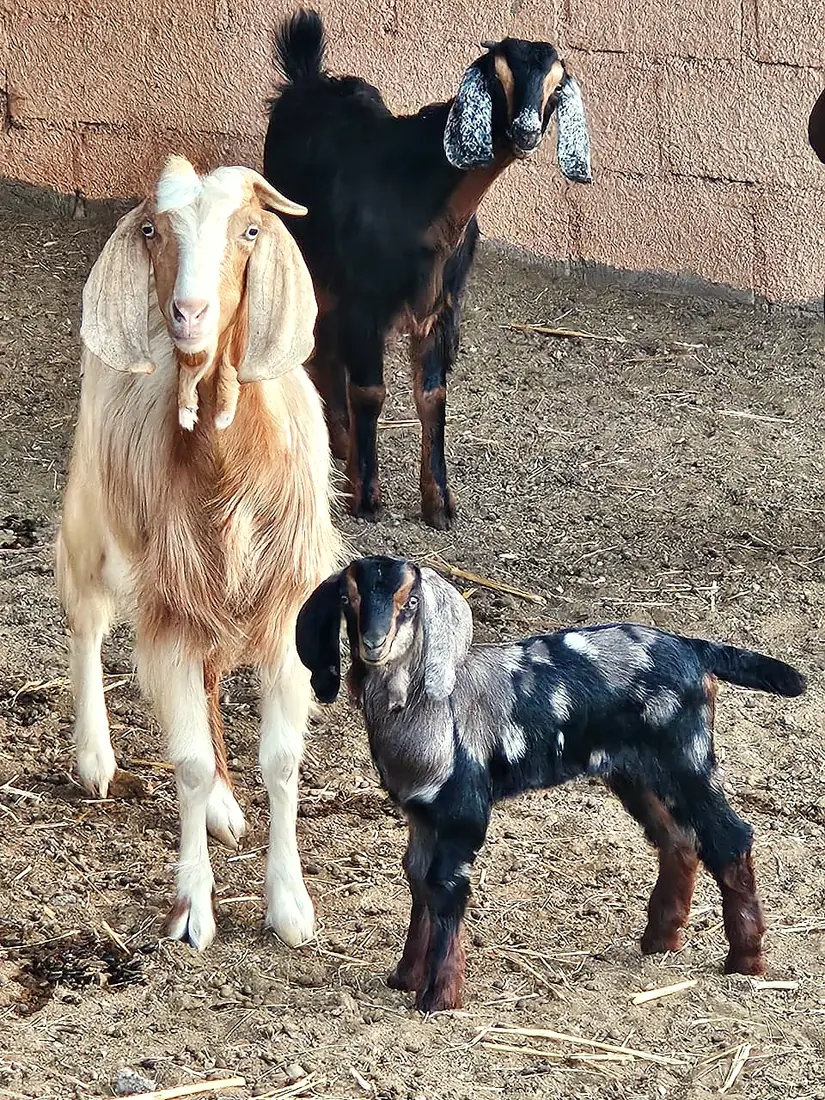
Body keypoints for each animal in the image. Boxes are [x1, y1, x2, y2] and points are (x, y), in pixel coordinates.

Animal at [55, 155, 341, 951]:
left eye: (250, 231)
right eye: (154, 231)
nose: (189, 313)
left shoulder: (284, 611)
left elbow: (281, 760)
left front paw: (290, 904)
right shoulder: (170, 611)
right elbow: (182, 762)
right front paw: (193, 907)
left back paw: (221, 803)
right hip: (94, 509)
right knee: (87, 616)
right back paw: (96, 757)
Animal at [263, 10, 591, 530]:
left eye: (556, 88)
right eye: (497, 77)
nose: (525, 131)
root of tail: (307, 77)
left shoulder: (442, 307)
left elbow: (433, 397)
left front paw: (439, 503)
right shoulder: (365, 300)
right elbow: (370, 391)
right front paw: (368, 497)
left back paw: (340, 442)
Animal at [297, 556, 806, 1012]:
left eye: (411, 601)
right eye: (347, 599)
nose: (374, 644)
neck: (429, 707)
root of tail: (693, 649)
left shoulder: (463, 811)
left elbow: (445, 885)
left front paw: (438, 997)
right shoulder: (422, 814)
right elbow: (418, 879)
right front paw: (405, 976)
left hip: (687, 759)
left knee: (730, 838)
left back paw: (746, 960)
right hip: (637, 772)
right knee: (678, 840)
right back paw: (660, 940)